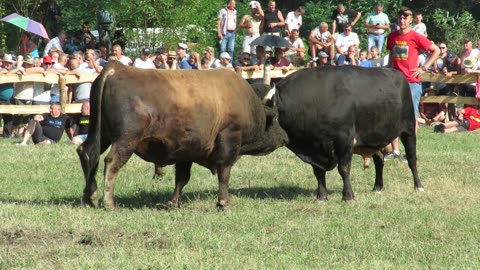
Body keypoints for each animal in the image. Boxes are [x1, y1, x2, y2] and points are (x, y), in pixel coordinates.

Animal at [258, 65, 424, 200]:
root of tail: (397, 74)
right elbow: (318, 172)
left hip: (408, 129)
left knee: (412, 159)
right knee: (379, 161)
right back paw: (377, 187)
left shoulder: (345, 139)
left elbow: (343, 169)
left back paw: (418, 186)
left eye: (269, 117)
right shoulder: (315, 146)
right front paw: (321, 196)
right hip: (374, 139)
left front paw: (348, 196)